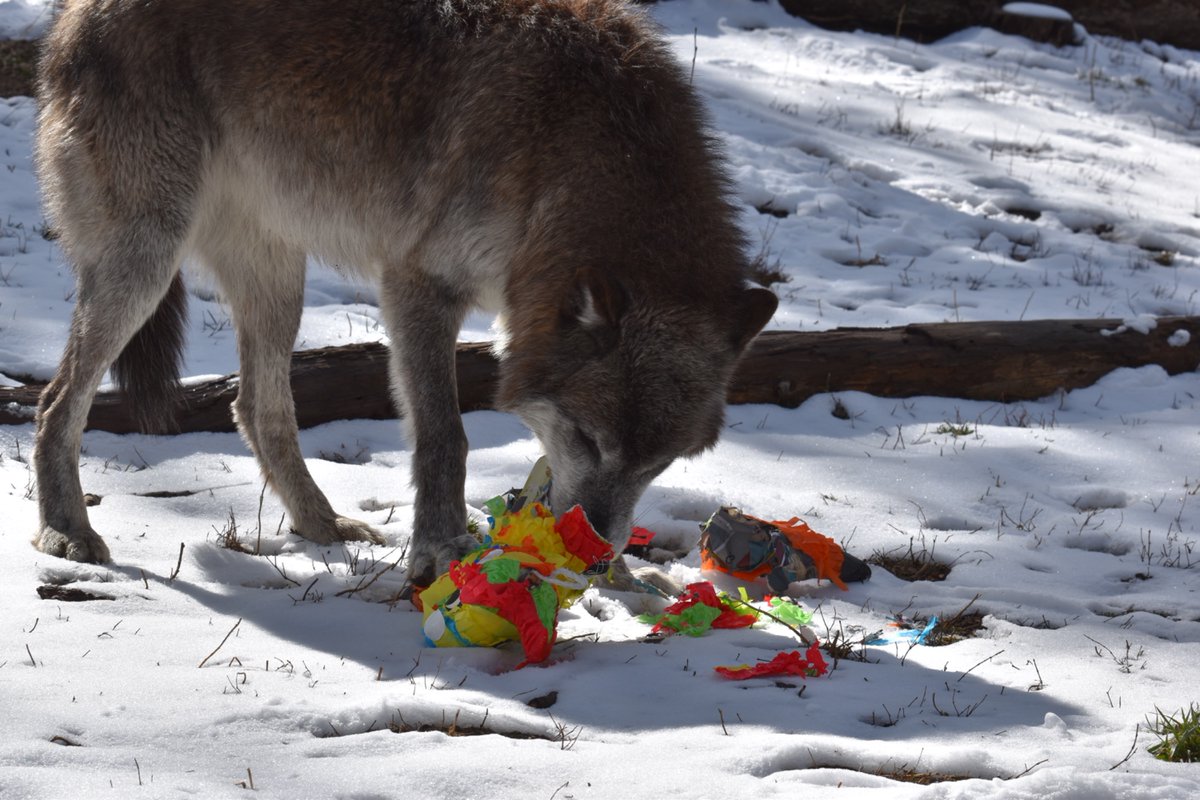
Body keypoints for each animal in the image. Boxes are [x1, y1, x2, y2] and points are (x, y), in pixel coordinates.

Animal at [32, 0, 777, 586]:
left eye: (659, 463)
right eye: (587, 439)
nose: (593, 560)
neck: (565, 148)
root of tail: (73, 11)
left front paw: (619, 572)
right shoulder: (419, 284)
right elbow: (446, 438)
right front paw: (441, 553)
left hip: (278, 277)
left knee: (256, 408)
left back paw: (322, 525)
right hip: (148, 262)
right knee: (56, 401)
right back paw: (67, 532)